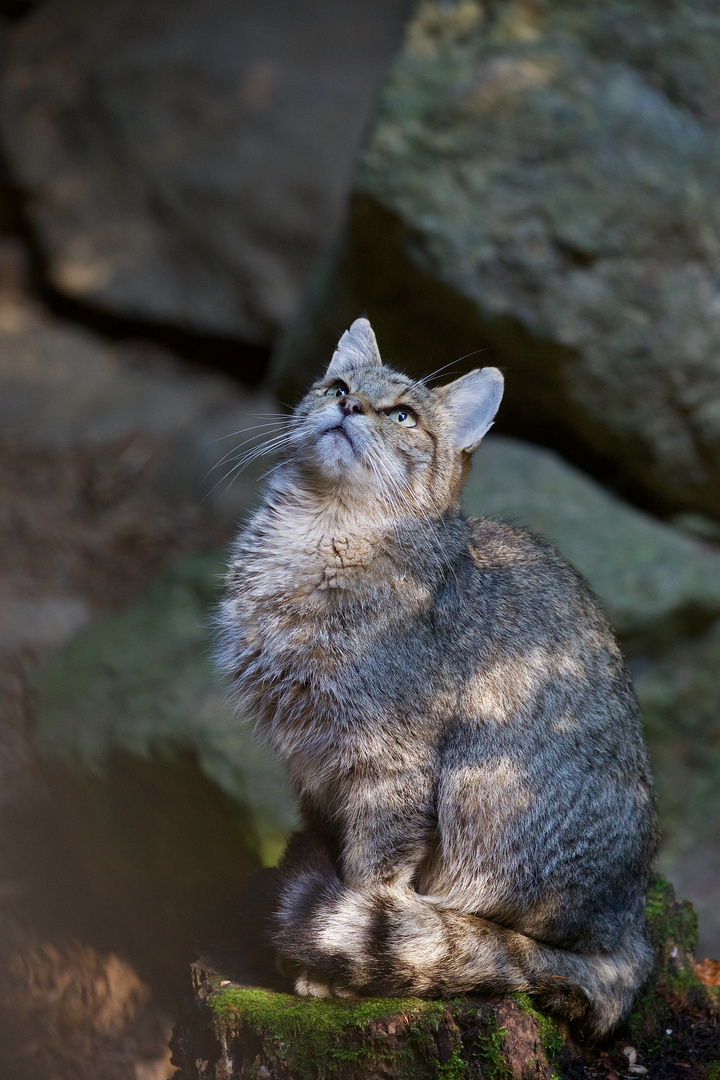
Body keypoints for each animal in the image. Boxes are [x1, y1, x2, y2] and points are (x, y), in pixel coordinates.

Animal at [220, 317, 660, 1036]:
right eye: (337, 386)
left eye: (402, 415)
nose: (350, 406)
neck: (318, 533)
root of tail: (637, 935)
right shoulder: (311, 762)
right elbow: (334, 852)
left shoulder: (392, 767)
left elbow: (368, 877)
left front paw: (331, 968)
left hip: (481, 799)